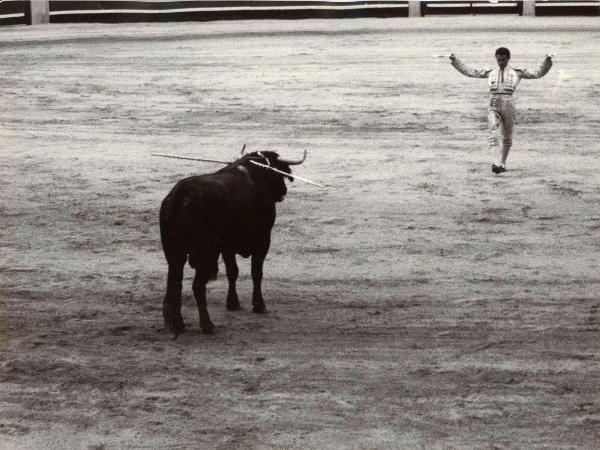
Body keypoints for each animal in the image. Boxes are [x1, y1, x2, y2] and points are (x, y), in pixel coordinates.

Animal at [158, 152, 304, 338]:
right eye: (279, 173)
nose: (283, 191)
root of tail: (181, 195)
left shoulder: (227, 247)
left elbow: (232, 272)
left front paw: (232, 303)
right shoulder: (263, 240)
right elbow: (256, 272)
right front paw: (259, 305)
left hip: (174, 254)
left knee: (174, 284)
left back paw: (178, 325)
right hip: (206, 253)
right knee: (197, 286)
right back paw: (208, 325)